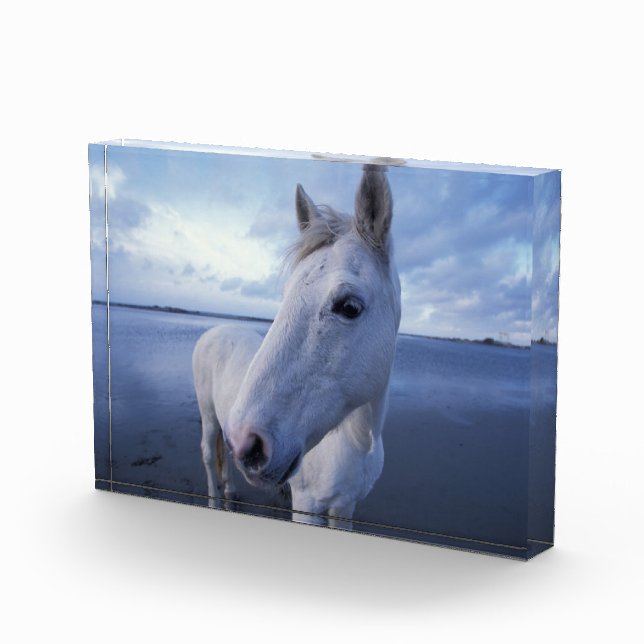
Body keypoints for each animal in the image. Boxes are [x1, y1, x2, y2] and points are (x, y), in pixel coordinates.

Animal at [192, 164, 401, 529]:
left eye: (349, 307)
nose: (248, 444)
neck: (357, 440)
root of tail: (216, 330)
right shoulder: (306, 504)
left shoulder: (345, 507)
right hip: (208, 416)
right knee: (207, 454)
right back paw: (215, 499)